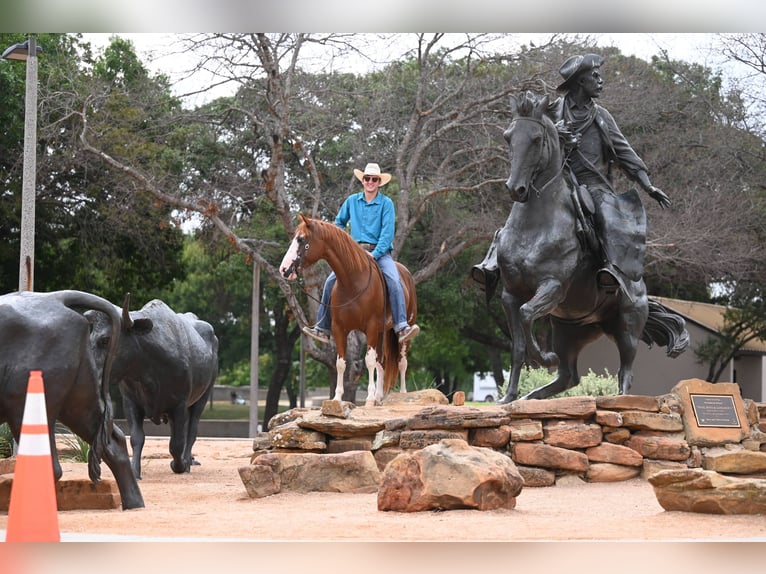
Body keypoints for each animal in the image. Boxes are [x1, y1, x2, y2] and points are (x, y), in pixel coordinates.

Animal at [280, 214, 416, 408]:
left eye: (302, 240)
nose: (284, 269)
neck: (353, 281)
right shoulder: (339, 329)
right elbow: (341, 363)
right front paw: (337, 398)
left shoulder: (371, 328)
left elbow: (369, 361)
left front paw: (369, 398)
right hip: (382, 332)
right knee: (382, 362)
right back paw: (380, 397)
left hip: (403, 331)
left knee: (402, 362)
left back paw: (403, 395)